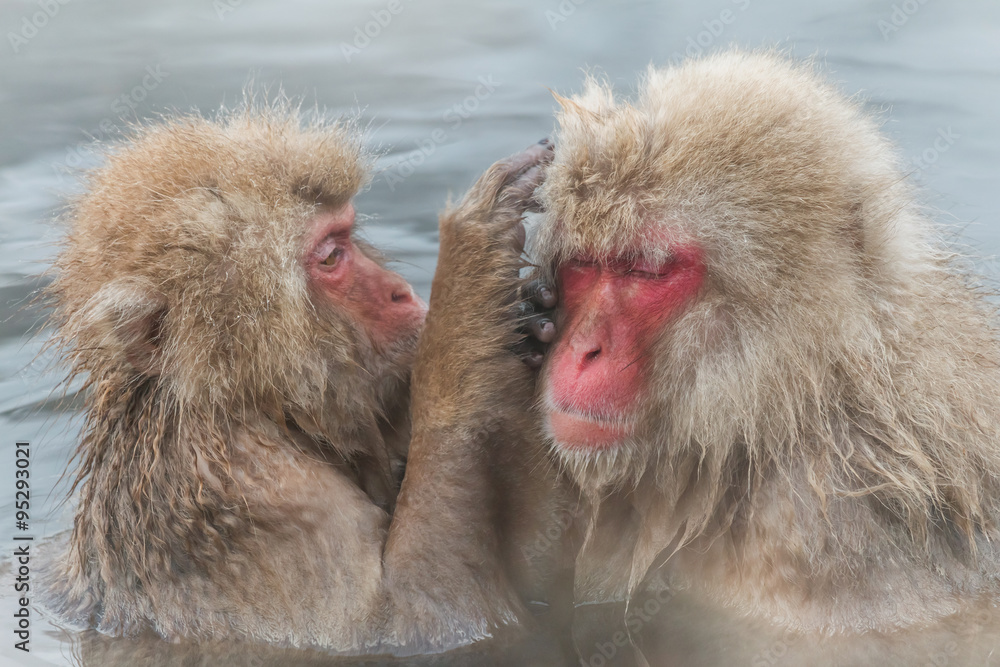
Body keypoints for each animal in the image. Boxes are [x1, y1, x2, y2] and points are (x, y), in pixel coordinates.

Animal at [38, 102, 574, 658]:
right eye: (331, 258)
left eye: (345, 234)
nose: (401, 292)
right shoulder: (258, 504)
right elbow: (420, 620)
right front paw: (474, 265)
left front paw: (524, 320)